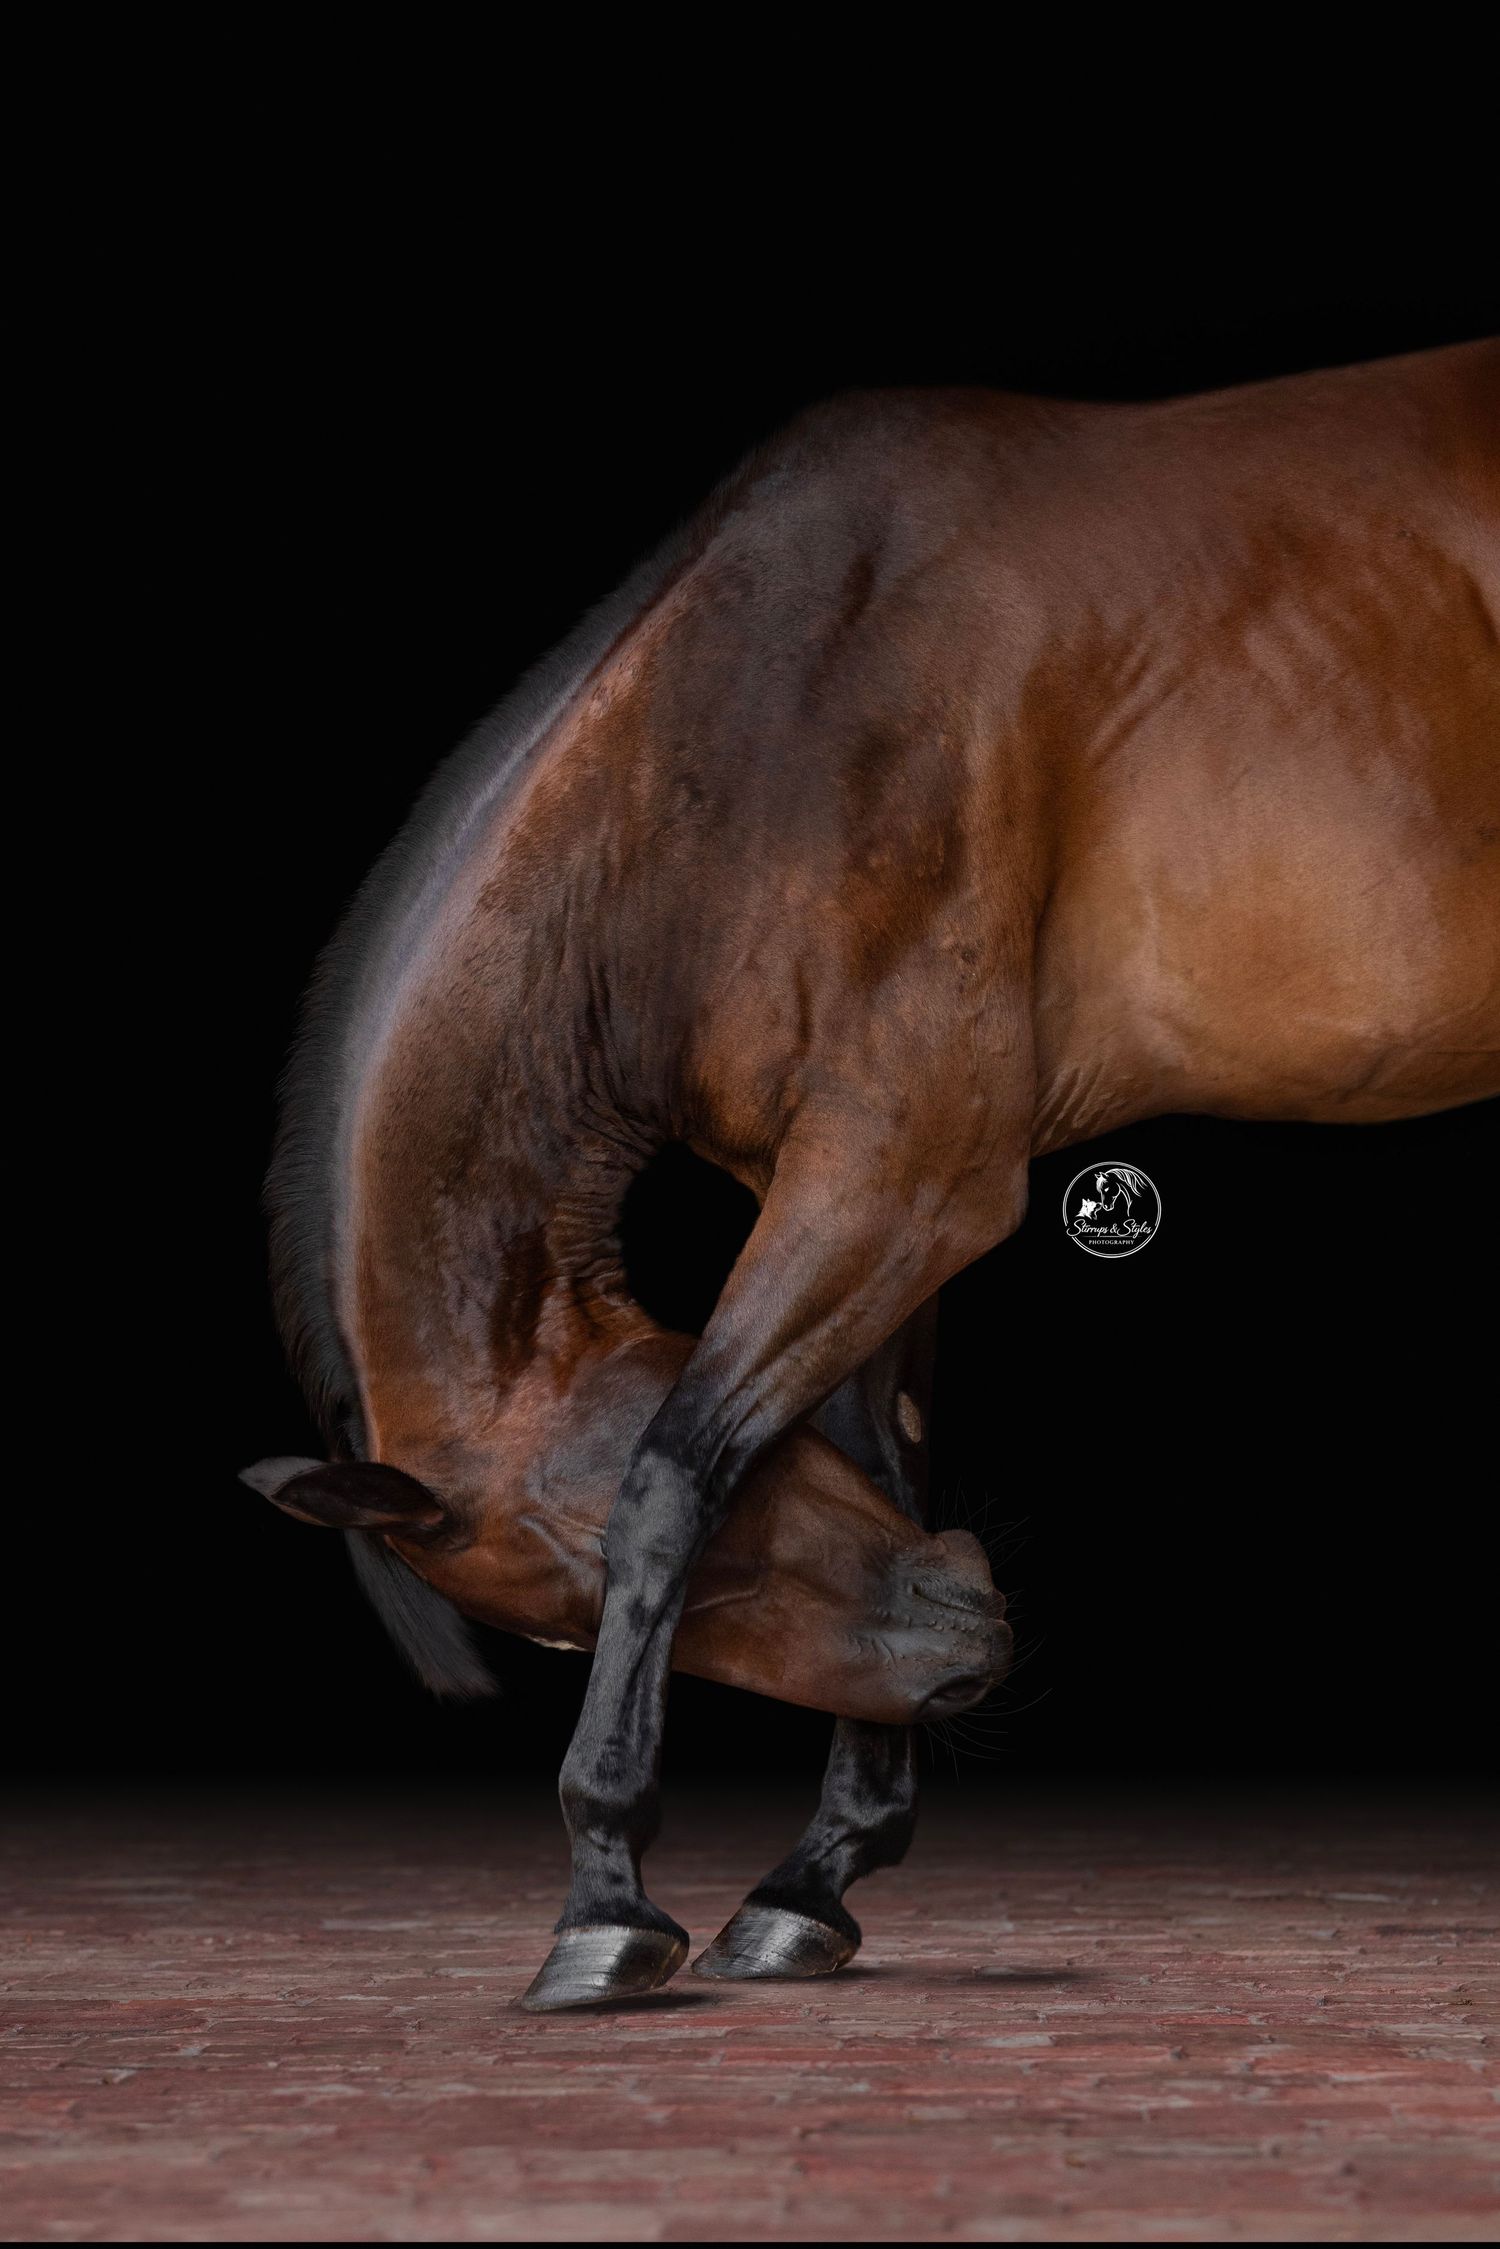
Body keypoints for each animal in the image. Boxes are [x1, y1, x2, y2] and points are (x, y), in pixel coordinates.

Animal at [243, 339, 1499, 2011]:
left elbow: (675, 1470)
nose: (965, 1639)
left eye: (587, 1596)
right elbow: (876, 1459)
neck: (762, 718)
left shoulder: (905, 1181)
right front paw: (817, 1876)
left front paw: (605, 1906)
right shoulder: (861, 1199)